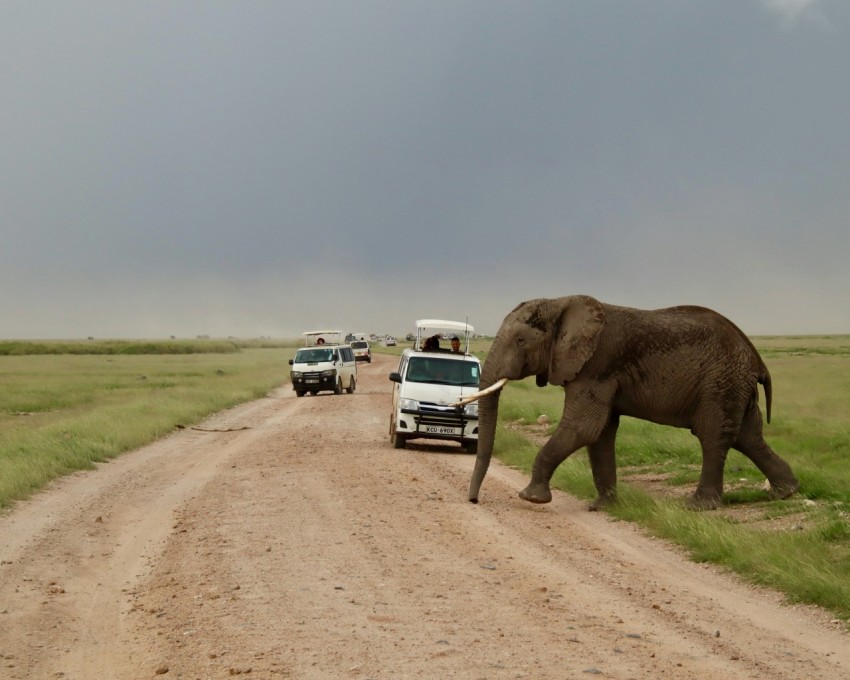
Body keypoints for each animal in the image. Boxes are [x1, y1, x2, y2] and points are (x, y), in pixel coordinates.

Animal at [460, 295, 799, 511]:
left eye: (520, 341)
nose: (474, 501)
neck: (561, 303)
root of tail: (756, 357)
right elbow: (600, 432)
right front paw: (601, 507)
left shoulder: (597, 364)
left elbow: (584, 427)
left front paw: (531, 498)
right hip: (735, 386)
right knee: (748, 436)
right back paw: (786, 492)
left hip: (721, 383)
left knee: (714, 436)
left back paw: (698, 507)